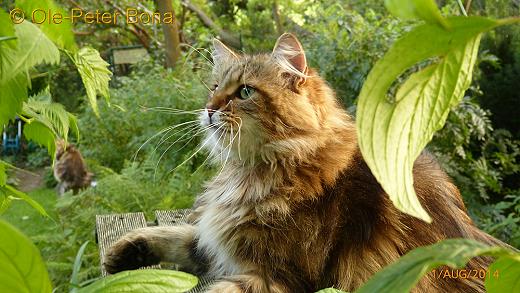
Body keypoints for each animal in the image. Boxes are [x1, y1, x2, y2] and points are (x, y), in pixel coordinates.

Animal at [105, 33, 512, 290]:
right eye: (214, 88)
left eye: (245, 92)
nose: (208, 109)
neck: (259, 169)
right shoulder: (219, 241)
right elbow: (178, 233)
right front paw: (124, 251)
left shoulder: (275, 274)